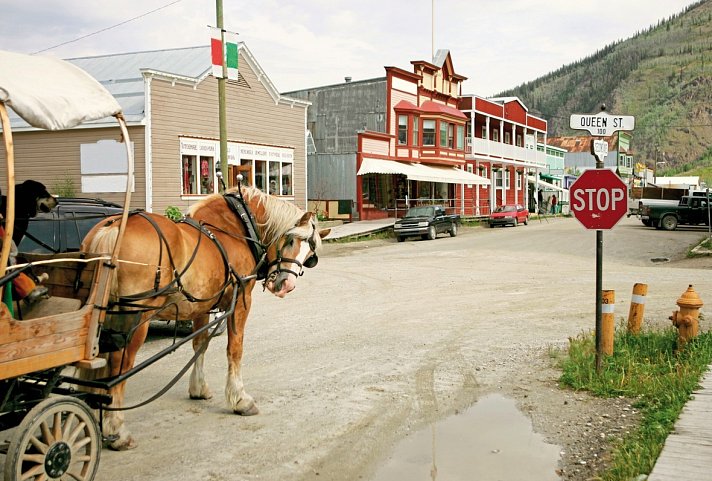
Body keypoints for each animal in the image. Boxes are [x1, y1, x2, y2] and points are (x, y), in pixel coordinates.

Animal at [80, 185, 330, 450]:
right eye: (290, 240)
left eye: (310, 254)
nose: (286, 285)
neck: (236, 227)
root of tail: (112, 227)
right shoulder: (241, 299)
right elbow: (235, 349)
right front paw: (240, 399)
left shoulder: (200, 306)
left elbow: (200, 345)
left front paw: (198, 388)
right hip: (134, 318)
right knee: (119, 363)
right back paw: (117, 429)